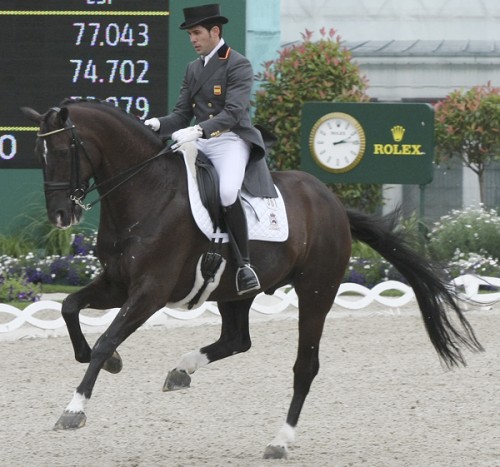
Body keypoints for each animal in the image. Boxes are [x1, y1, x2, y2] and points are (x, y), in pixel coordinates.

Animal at [21, 99, 482, 460]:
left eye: (61, 149)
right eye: (38, 154)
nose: (60, 216)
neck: (147, 192)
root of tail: (331, 202)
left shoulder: (150, 292)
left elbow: (105, 339)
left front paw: (74, 409)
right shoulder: (117, 284)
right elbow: (70, 308)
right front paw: (111, 364)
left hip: (316, 292)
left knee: (304, 366)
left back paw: (280, 441)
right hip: (235, 292)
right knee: (236, 340)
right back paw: (182, 370)